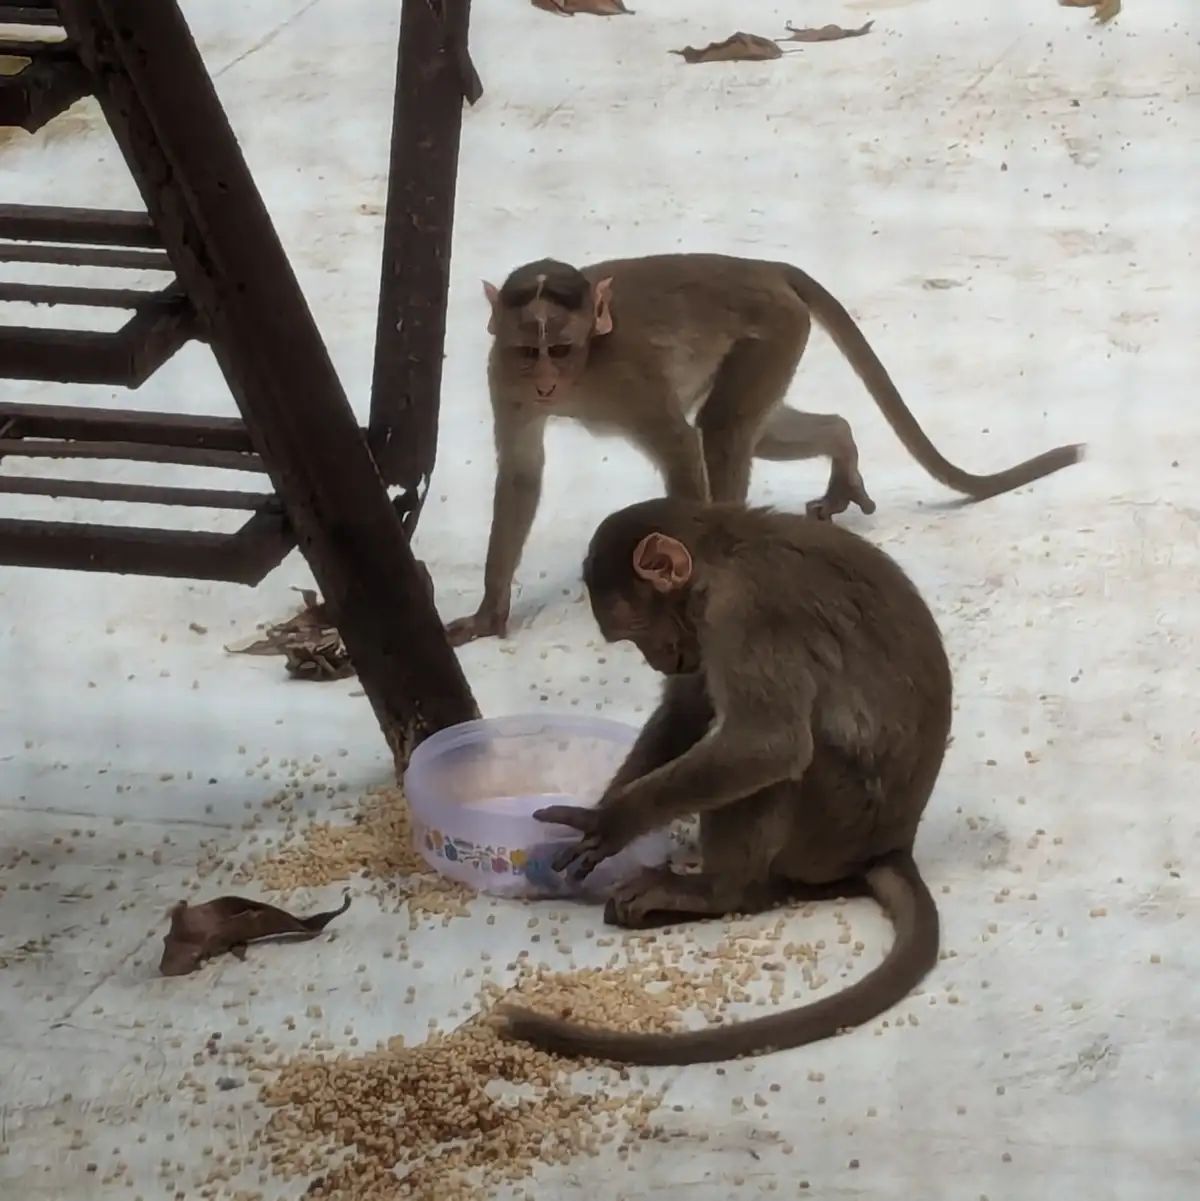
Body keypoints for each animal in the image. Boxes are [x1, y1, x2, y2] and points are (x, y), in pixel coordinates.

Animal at [445, 253, 1083, 647]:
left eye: (562, 348)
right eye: (529, 351)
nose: (545, 384)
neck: (582, 375)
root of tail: (762, 267)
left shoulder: (627, 371)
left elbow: (679, 445)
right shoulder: (503, 377)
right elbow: (521, 473)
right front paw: (491, 612)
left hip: (774, 329)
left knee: (721, 428)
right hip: (778, 340)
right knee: (756, 429)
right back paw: (841, 447)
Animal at [491, 496, 952, 1065]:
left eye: (637, 631)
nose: (659, 660)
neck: (724, 551)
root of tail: (891, 846)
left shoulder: (745, 613)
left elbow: (768, 742)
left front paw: (614, 821)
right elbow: (691, 706)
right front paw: (599, 817)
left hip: (834, 823)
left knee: (786, 769)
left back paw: (716, 892)